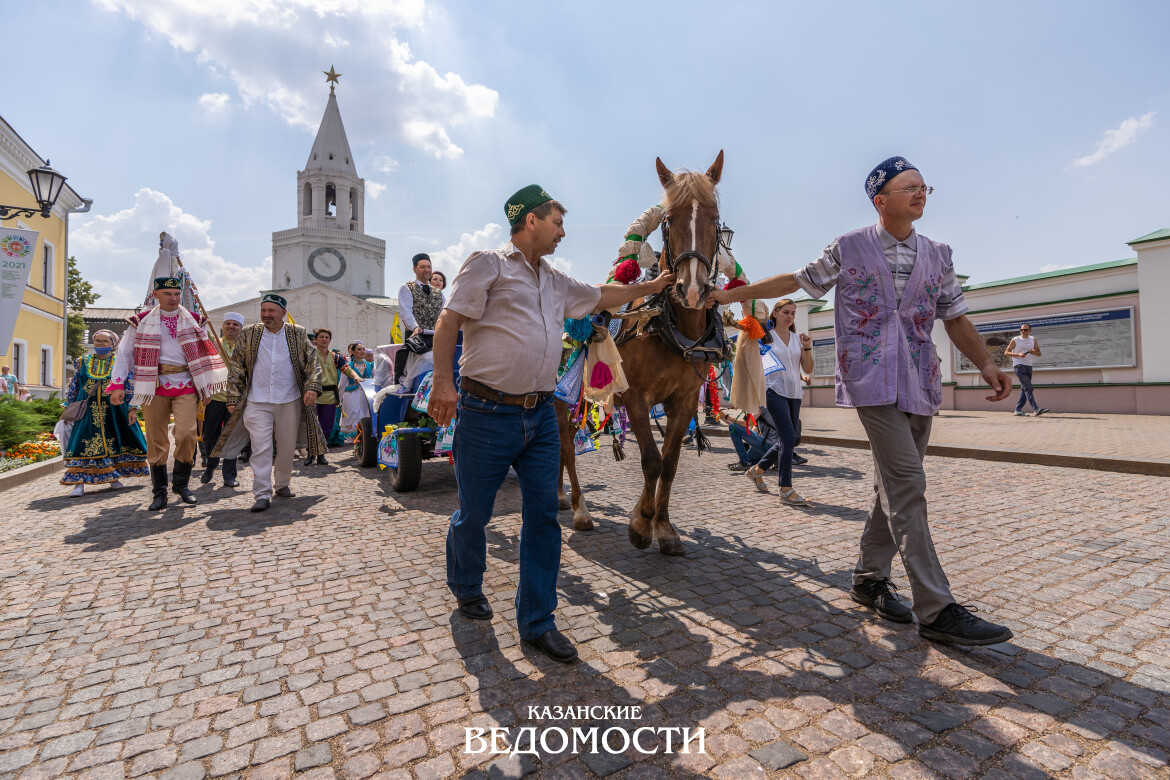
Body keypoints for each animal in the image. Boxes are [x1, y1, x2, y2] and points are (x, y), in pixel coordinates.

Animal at [556, 152, 720, 554]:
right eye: (669, 220)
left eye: (714, 219)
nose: (692, 289)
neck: (670, 327)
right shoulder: (635, 397)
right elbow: (651, 461)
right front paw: (642, 524)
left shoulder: (685, 400)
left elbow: (671, 463)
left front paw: (664, 526)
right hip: (558, 398)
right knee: (565, 446)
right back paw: (580, 509)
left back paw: (561, 496)